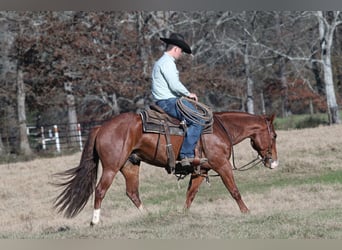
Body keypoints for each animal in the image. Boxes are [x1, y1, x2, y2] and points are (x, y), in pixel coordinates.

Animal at [52, 110, 278, 226]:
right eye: (274, 135)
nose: (273, 162)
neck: (221, 130)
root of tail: (101, 127)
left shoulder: (201, 171)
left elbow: (190, 195)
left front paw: (183, 214)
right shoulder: (222, 165)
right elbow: (234, 190)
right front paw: (247, 212)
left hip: (130, 165)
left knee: (132, 192)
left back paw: (148, 215)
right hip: (111, 167)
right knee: (100, 191)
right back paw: (95, 221)